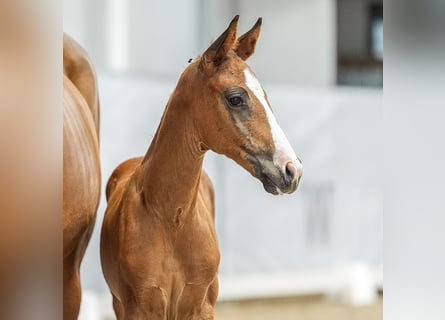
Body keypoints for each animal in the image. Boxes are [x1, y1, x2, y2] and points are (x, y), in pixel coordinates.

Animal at [100, 16, 302, 318]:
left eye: (265, 96)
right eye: (235, 98)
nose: (292, 170)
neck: (171, 218)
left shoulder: (200, 306)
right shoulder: (139, 308)